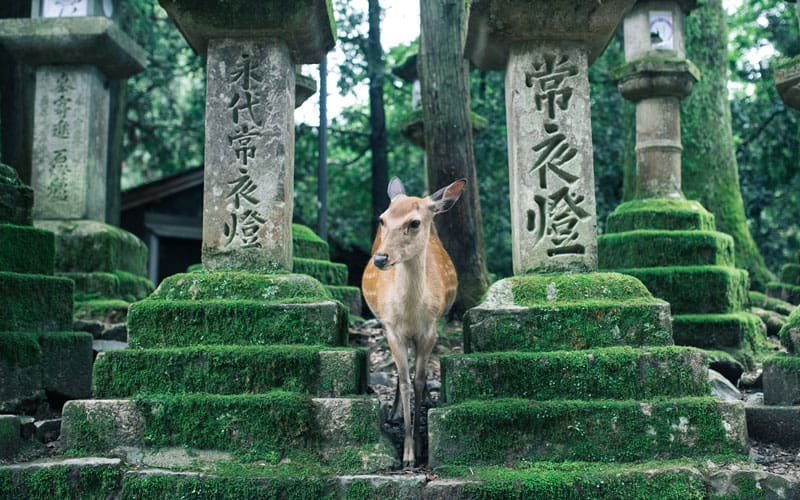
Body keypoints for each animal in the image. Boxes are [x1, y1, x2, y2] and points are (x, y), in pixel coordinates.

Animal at [362, 176, 466, 468]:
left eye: (415, 222)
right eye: (382, 219)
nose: (381, 258)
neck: (409, 314)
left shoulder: (429, 330)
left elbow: (419, 380)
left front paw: (419, 449)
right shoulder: (392, 329)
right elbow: (407, 381)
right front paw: (406, 454)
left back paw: (428, 401)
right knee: (400, 373)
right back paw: (395, 412)